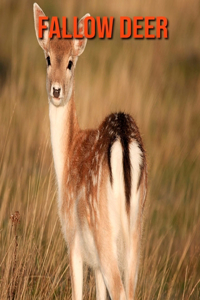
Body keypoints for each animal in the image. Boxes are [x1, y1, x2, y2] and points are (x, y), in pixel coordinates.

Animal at [33, 3, 147, 298]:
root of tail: (123, 140)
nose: (56, 90)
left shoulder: (73, 238)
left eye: (70, 62)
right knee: (131, 287)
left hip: (102, 227)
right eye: (47, 58)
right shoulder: (94, 261)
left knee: (121, 290)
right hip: (136, 229)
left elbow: (78, 292)